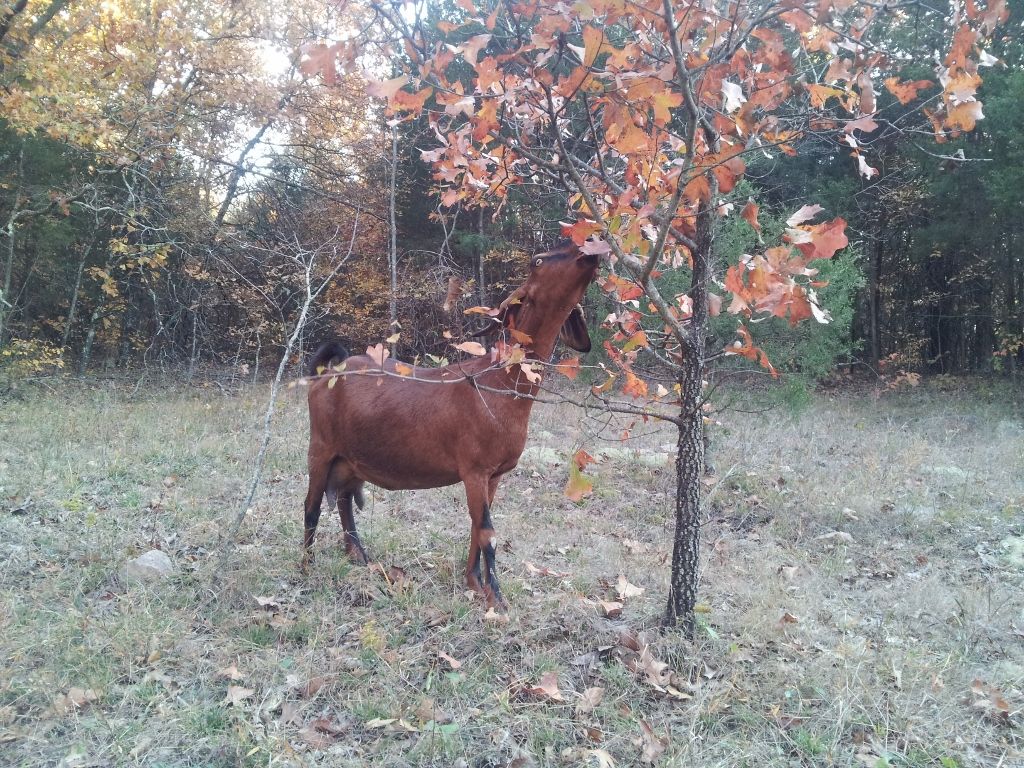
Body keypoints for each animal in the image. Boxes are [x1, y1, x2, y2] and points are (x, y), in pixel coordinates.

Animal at [302, 241, 598, 609]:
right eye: (538, 261)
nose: (591, 250)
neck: (499, 381)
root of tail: (328, 370)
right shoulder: (474, 469)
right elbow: (487, 533)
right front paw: (496, 600)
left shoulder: (494, 474)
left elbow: (476, 527)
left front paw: (474, 584)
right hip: (321, 446)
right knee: (311, 505)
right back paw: (306, 566)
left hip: (351, 458)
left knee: (343, 499)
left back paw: (360, 557)